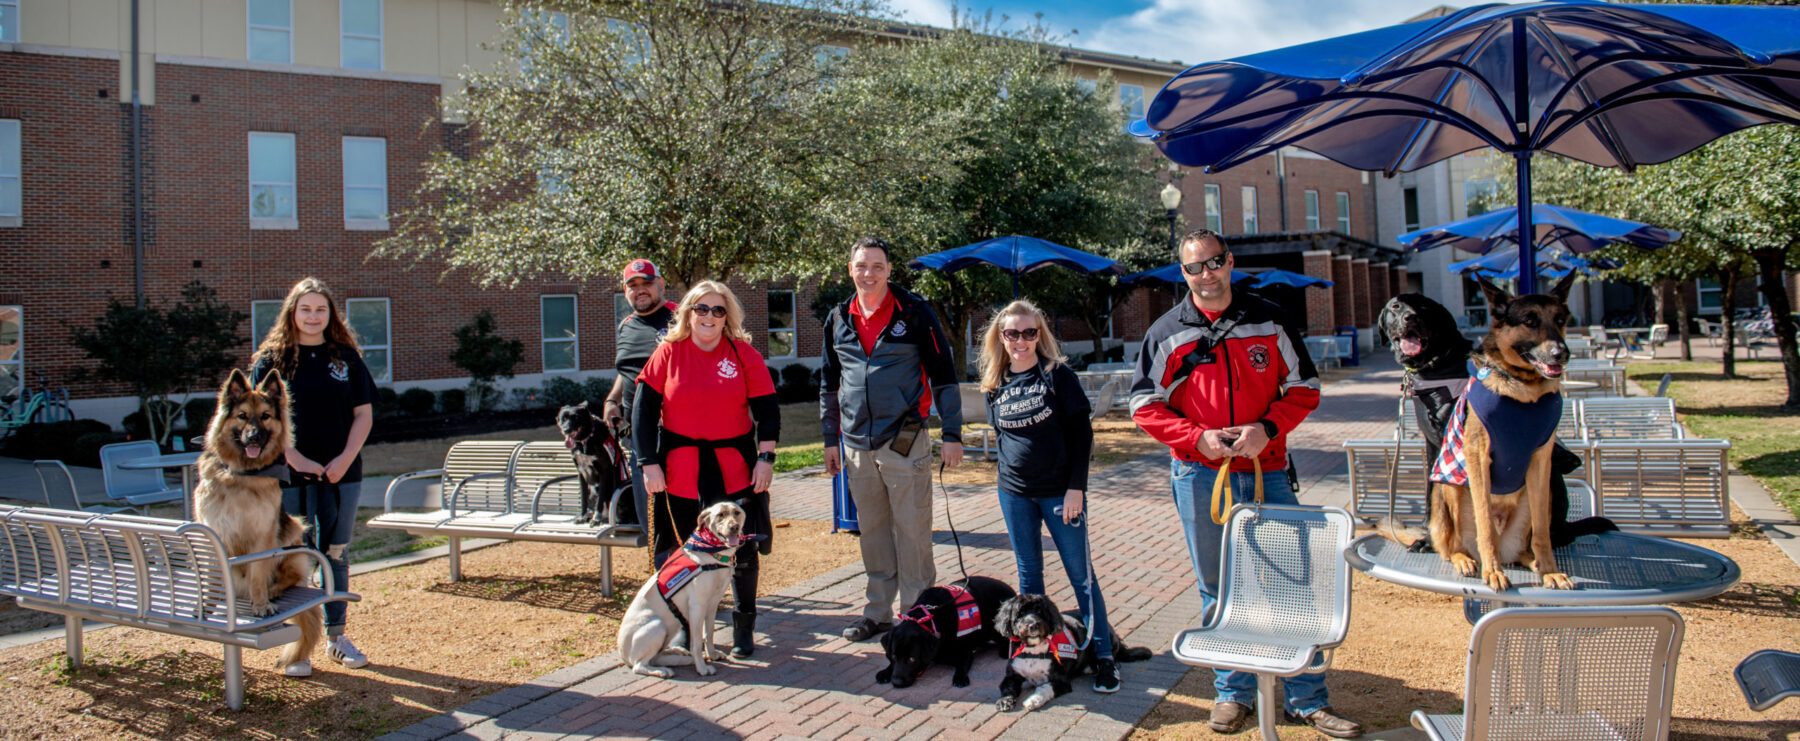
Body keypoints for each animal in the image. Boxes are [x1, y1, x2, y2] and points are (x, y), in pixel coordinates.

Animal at [619, 496, 759, 676]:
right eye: (720, 515)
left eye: (737, 512)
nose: (734, 527)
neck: (712, 552)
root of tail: (623, 654)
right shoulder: (697, 606)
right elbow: (696, 642)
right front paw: (702, 668)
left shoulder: (712, 604)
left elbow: (709, 634)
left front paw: (712, 655)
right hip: (657, 625)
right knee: (639, 665)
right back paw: (662, 670)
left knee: (655, 657)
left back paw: (677, 654)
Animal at [878, 571, 1022, 690]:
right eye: (894, 656)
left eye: (912, 659)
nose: (896, 682)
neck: (930, 617)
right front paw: (886, 671)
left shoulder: (964, 651)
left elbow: (962, 664)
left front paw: (960, 677)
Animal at [993, 593, 1159, 708]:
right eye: (1020, 614)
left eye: (1039, 612)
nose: (1033, 624)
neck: (1033, 651)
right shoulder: (1011, 676)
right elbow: (1007, 688)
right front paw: (1005, 701)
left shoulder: (1061, 681)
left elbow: (1044, 688)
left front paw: (1034, 700)